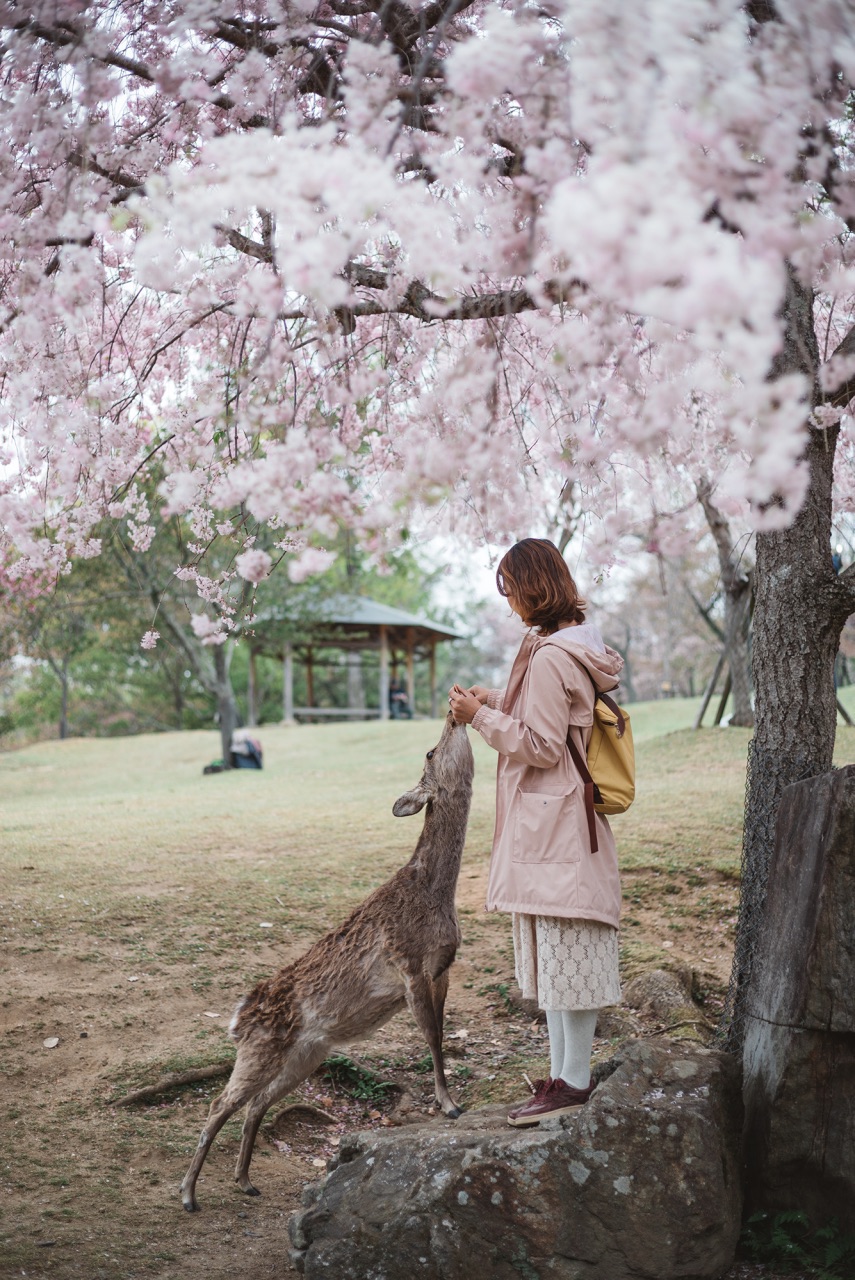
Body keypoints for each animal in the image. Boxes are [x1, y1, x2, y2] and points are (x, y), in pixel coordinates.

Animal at [180, 716, 473, 1213]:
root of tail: (237, 1020)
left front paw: (448, 1102)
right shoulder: (408, 964)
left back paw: (245, 1181)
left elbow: (440, 1034)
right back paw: (188, 1194)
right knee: (221, 1102)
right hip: (260, 1051)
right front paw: (449, 1105)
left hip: (305, 1054)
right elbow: (433, 1038)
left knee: (256, 1104)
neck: (434, 897)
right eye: (431, 751)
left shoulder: (443, 968)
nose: (454, 716)